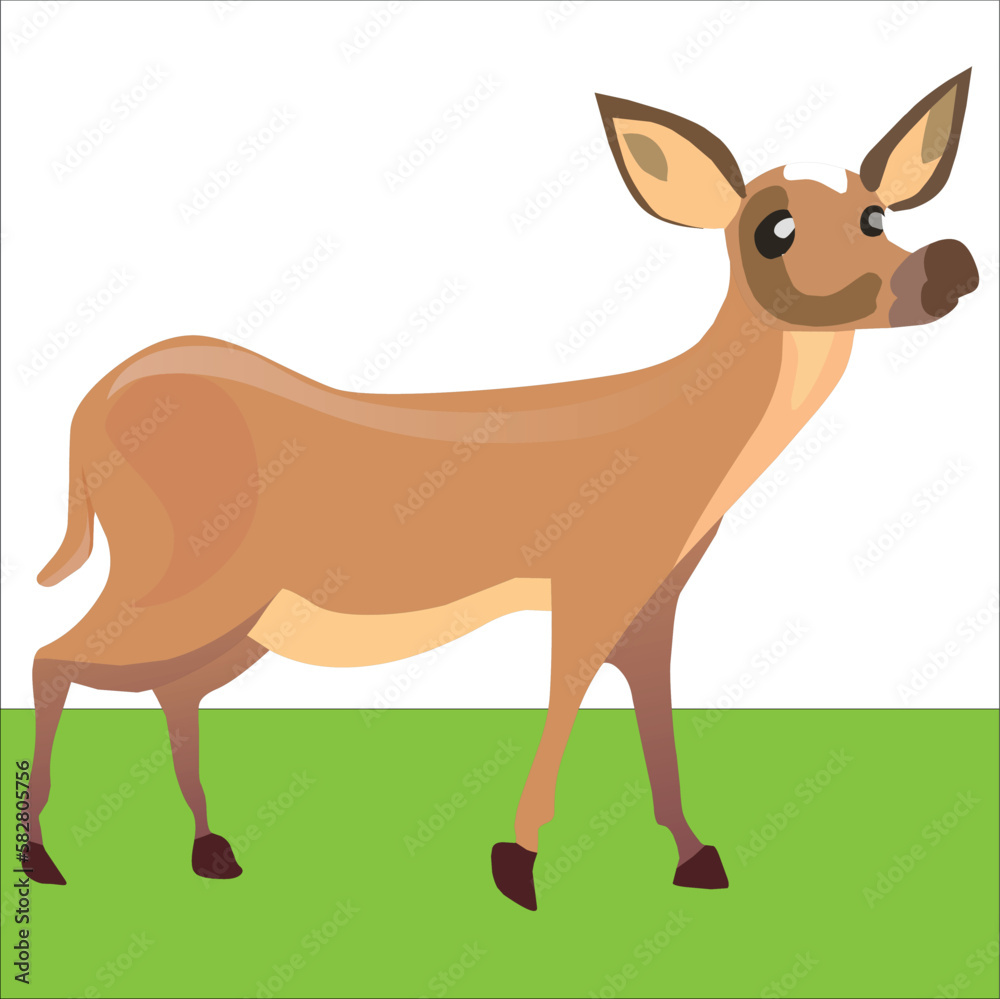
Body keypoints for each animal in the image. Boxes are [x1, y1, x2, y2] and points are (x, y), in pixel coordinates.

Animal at [23, 71, 979, 910]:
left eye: (876, 212)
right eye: (773, 228)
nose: (947, 266)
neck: (686, 445)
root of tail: (90, 405)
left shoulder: (654, 597)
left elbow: (657, 725)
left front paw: (695, 855)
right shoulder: (589, 577)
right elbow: (565, 703)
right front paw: (516, 864)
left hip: (243, 608)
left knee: (170, 687)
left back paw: (210, 850)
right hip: (186, 569)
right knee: (54, 657)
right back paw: (45, 858)